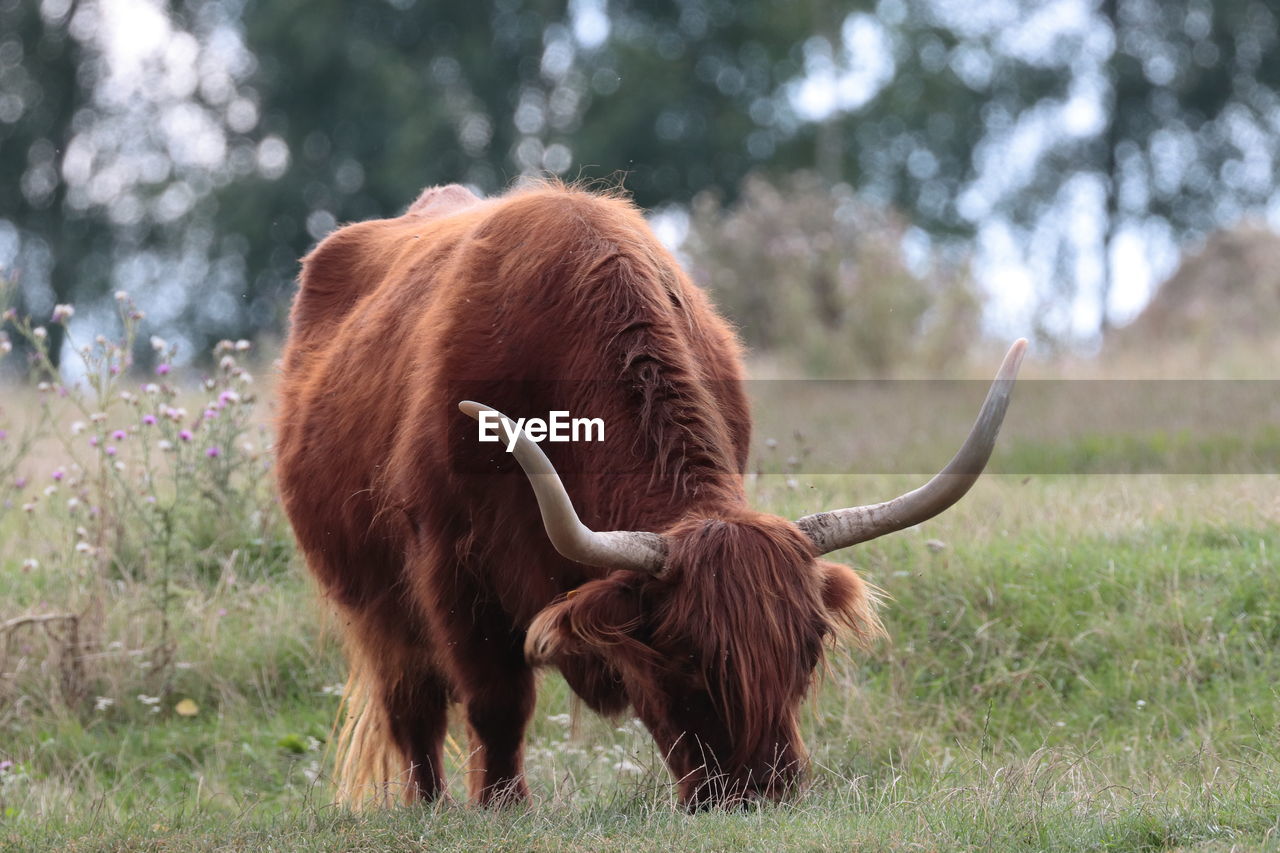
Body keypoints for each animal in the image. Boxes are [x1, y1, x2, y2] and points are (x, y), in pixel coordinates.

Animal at [280, 183, 1029, 809]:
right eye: (686, 655)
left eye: (810, 647)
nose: (761, 792)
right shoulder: (451, 568)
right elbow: (496, 701)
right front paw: (503, 809)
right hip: (371, 599)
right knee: (413, 704)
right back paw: (430, 807)